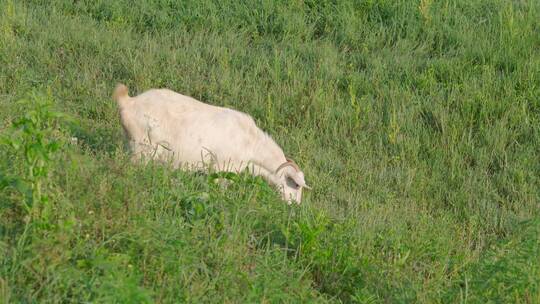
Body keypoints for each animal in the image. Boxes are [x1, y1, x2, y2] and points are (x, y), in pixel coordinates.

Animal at [112, 83, 310, 204]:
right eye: (296, 185)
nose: (295, 207)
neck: (250, 144)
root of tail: (128, 101)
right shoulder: (223, 169)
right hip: (142, 149)